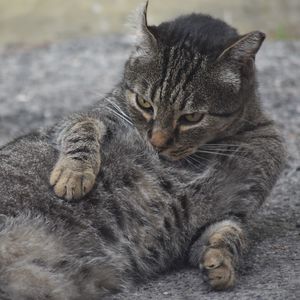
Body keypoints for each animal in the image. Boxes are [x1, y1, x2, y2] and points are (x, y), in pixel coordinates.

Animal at [0, 2, 284, 300]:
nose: (157, 142)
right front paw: (73, 174)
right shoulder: (94, 114)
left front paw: (221, 263)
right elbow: (82, 125)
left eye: (192, 117)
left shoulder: (233, 213)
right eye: (144, 103)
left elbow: (230, 234)